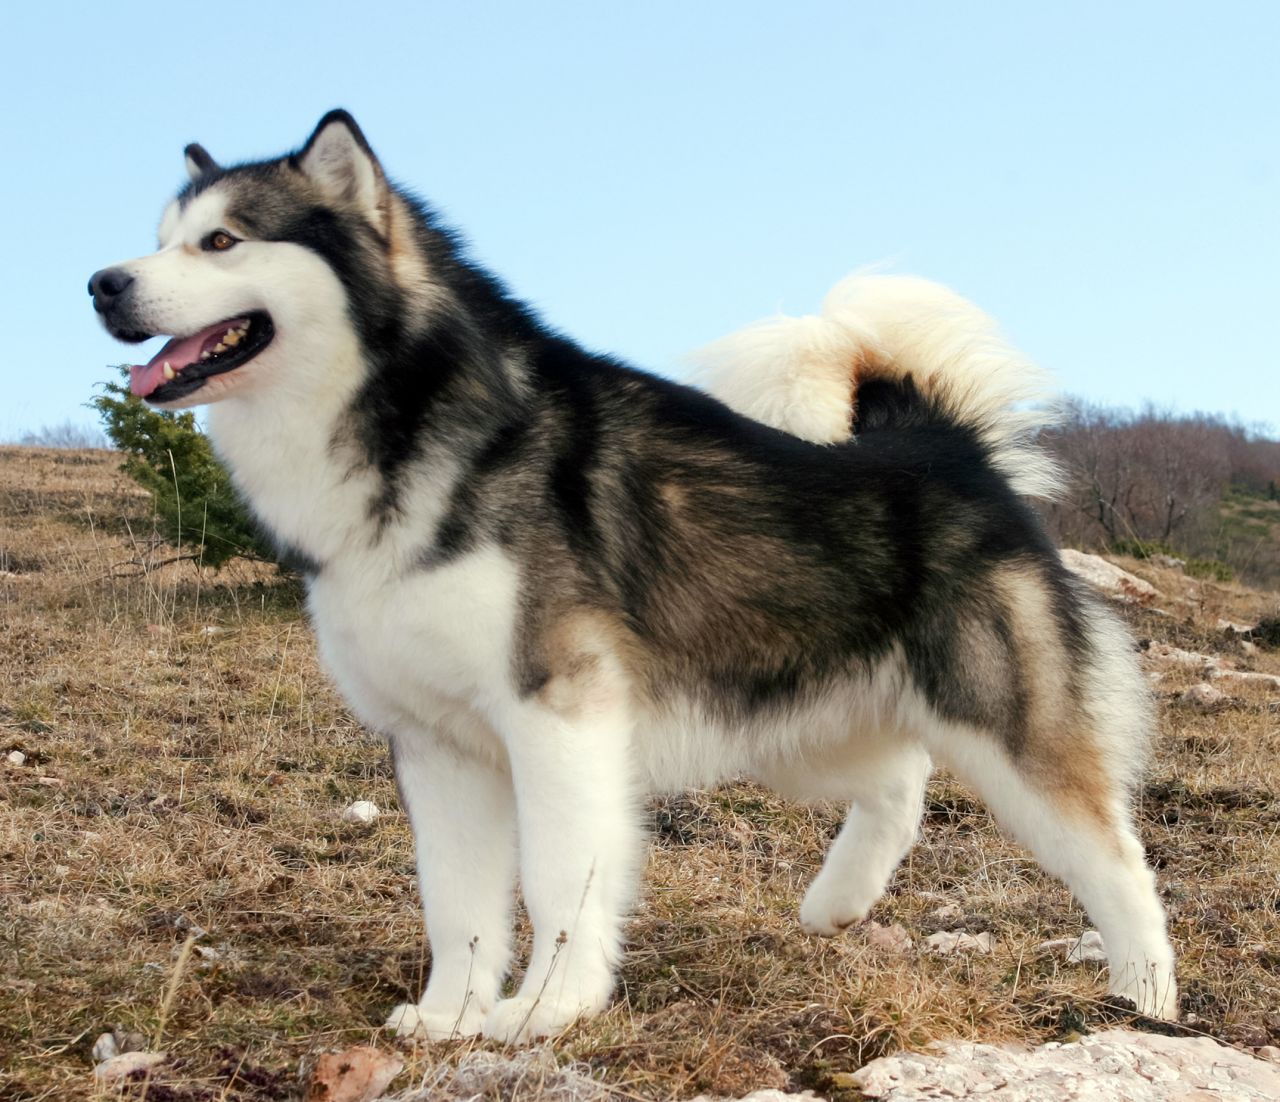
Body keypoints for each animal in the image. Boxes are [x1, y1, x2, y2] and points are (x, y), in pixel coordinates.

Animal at [85, 107, 1172, 1034]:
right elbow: (456, 905)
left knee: (1120, 866)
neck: (407, 424)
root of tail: (944, 446)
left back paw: (1145, 1000)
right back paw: (837, 900)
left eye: (222, 241)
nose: (101, 284)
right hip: (792, 727)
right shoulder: (436, 745)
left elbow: (558, 877)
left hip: (1007, 736)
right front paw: (448, 1019)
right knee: (900, 782)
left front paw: (543, 1010)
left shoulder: (557, 716)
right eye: (160, 236)